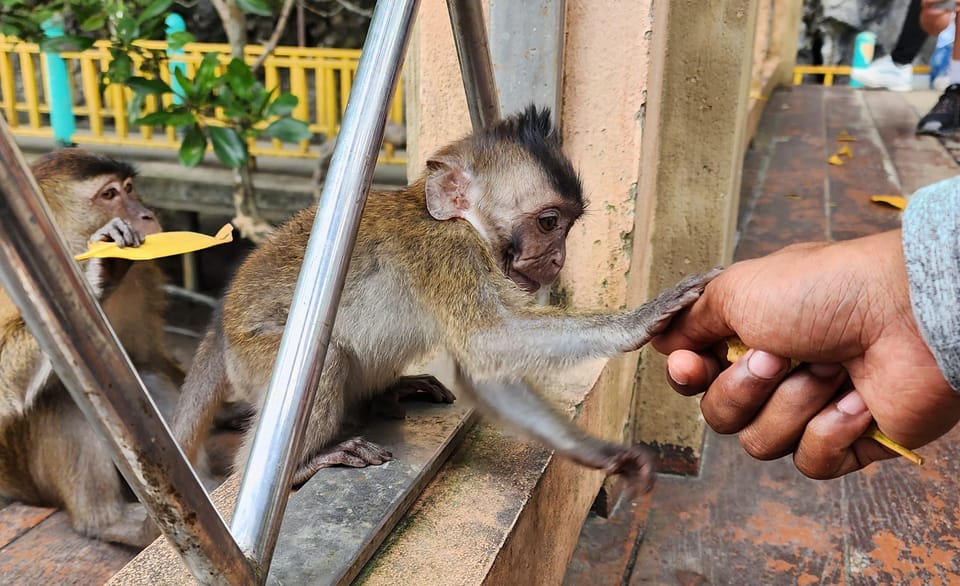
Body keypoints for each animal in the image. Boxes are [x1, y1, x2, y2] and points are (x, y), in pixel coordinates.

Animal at [0, 147, 182, 548]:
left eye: (129, 188)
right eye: (109, 195)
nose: (146, 215)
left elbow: (148, 358)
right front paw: (96, 268)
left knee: (148, 379)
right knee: (65, 400)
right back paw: (108, 522)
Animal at [172, 107, 716, 490]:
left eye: (568, 225)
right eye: (548, 222)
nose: (558, 258)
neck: (459, 221)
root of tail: (219, 326)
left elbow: (488, 371)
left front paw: (603, 456)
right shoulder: (447, 253)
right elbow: (489, 338)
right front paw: (640, 318)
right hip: (254, 357)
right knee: (325, 360)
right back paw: (305, 462)